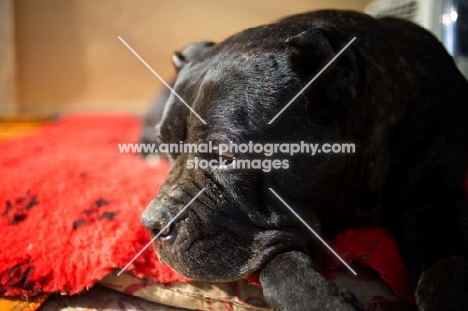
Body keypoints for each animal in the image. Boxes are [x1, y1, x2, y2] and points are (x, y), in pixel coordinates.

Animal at [141, 10, 468, 311]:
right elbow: (283, 266)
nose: (151, 224)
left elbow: (446, 265)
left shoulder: (434, 200)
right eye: (168, 146)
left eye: (227, 157)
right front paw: (323, 299)